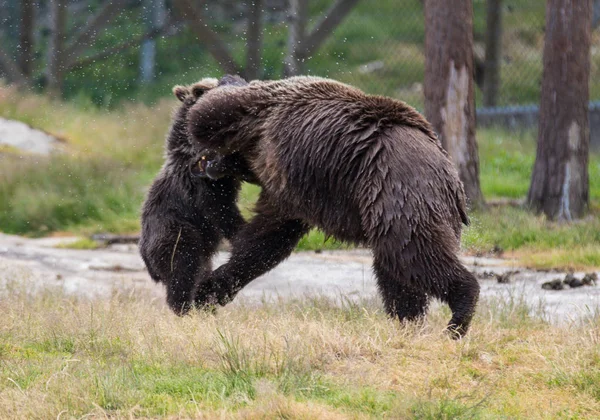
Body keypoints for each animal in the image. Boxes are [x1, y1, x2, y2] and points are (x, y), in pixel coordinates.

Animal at [138, 79, 255, 316]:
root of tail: (146, 259)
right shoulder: (204, 183)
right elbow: (220, 208)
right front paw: (241, 230)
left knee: (198, 271)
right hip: (178, 232)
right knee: (184, 268)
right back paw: (186, 307)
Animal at [186, 75, 478, 336]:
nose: (204, 165)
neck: (255, 148)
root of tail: (451, 177)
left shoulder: (272, 119)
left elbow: (214, 109)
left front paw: (206, 92)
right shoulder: (288, 197)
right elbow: (264, 244)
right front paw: (206, 292)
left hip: (396, 194)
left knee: (415, 255)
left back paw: (459, 312)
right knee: (395, 271)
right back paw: (408, 322)